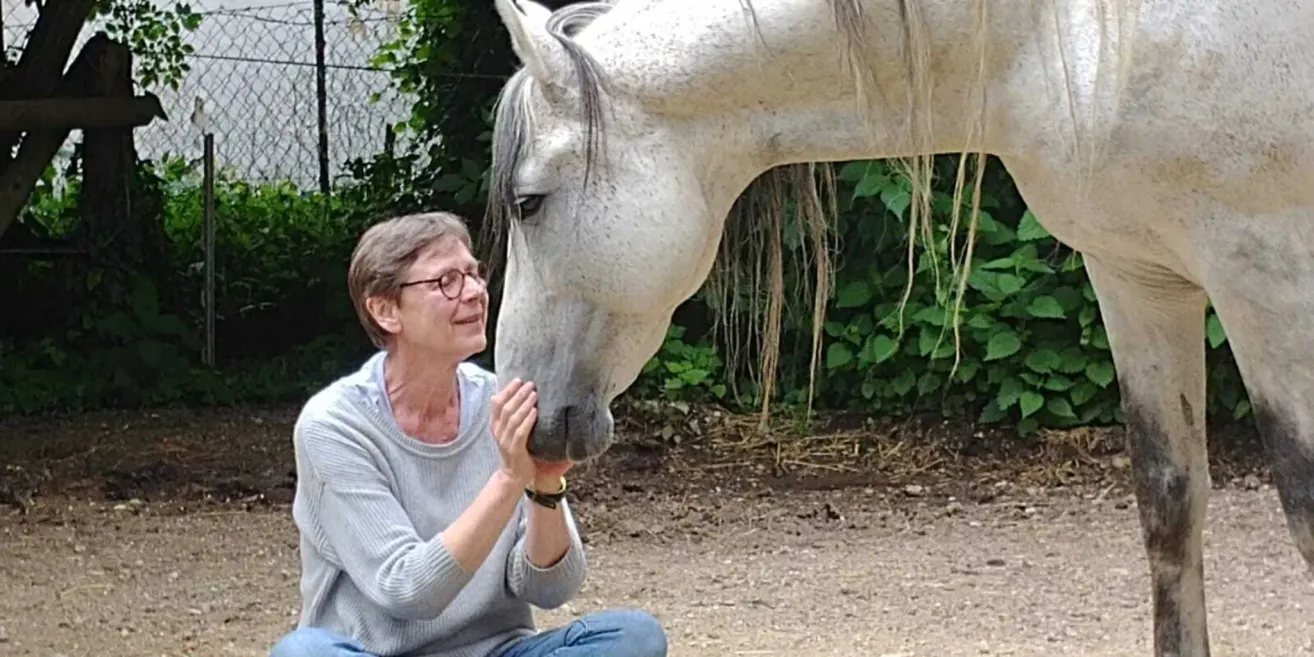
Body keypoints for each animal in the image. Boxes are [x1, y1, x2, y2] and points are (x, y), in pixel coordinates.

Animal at [483, 0, 1314, 654]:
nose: (521, 410)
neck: (1060, 31)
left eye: (528, 202)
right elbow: (1169, 506)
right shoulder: (1138, 276)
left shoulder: (1264, 276)